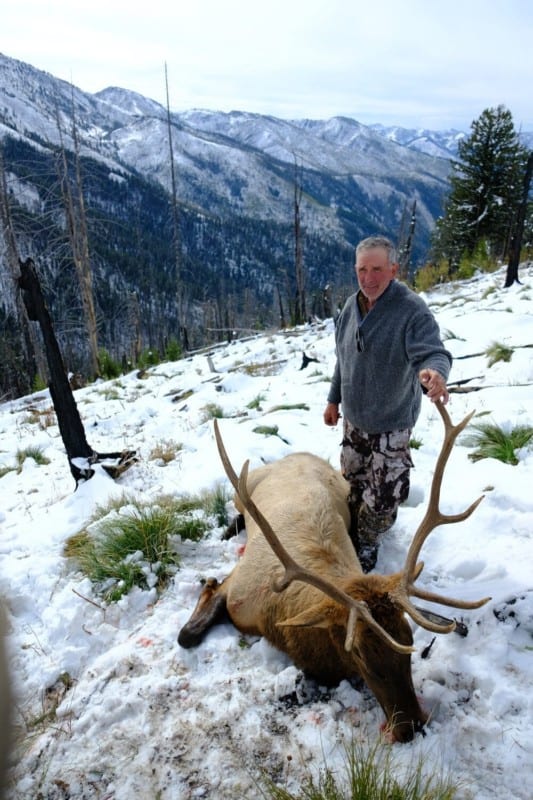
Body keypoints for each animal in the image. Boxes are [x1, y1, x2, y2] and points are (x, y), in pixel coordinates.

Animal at [178, 401, 491, 742]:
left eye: (409, 642)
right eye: (361, 655)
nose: (411, 726)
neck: (277, 622)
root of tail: (297, 454)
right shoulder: (238, 588)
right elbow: (188, 631)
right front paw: (206, 585)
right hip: (243, 487)